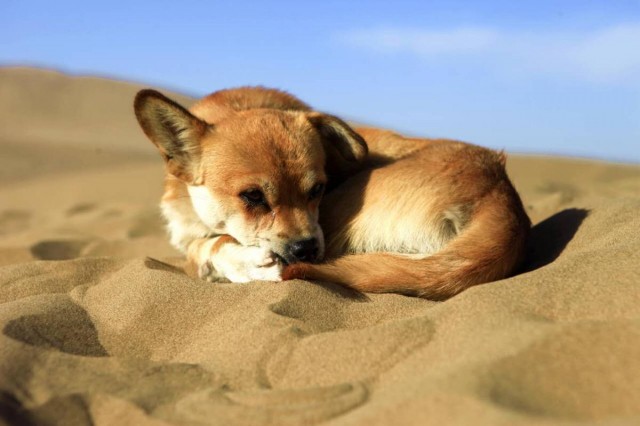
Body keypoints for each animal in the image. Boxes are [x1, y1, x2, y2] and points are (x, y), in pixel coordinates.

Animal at [135, 85, 528, 300]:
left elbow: (208, 247)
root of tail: (500, 197)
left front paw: (242, 263)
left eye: (318, 189)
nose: (306, 249)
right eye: (253, 196)